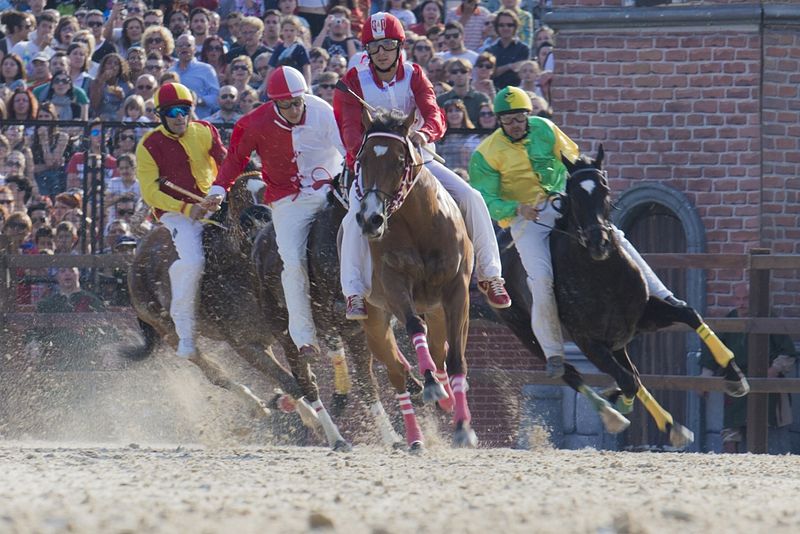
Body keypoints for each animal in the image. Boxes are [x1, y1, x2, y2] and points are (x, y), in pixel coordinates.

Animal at [126, 174, 314, 430]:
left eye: (269, 192)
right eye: (237, 200)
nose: (262, 225)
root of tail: (138, 253)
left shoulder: (278, 335)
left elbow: (296, 377)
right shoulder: (244, 344)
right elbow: (289, 380)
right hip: (166, 330)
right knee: (213, 371)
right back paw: (255, 405)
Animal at [354, 109, 476, 452]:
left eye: (399, 161)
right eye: (362, 159)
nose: (370, 219)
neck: (420, 223)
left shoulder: (457, 292)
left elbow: (457, 358)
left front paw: (463, 427)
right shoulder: (394, 286)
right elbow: (413, 326)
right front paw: (432, 386)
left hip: (437, 310)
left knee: (440, 351)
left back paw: (447, 400)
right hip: (373, 320)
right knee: (397, 372)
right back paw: (415, 435)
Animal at [494, 149, 752, 450]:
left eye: (605, 190)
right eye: (574, 195)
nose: (599, 242)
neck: (600, 276)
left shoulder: (642, 318)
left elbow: (689, 315)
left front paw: (735, 376)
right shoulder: (589, 342)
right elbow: (628, 381)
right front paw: (621, 403)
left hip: (618, 341)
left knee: (632, 371)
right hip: (526, 332)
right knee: (571, 372)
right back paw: (614, 415)